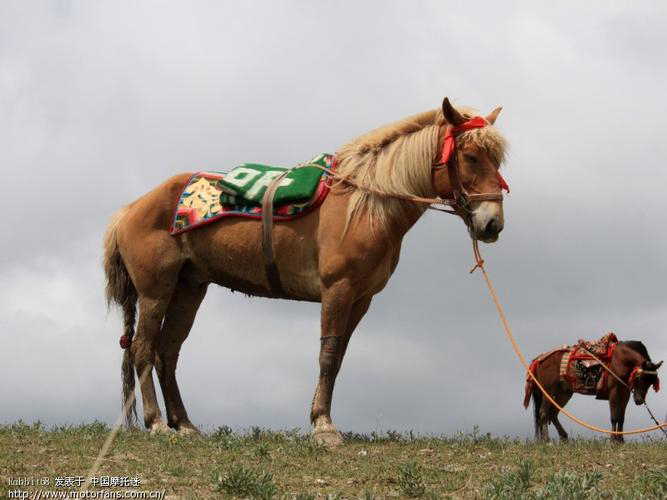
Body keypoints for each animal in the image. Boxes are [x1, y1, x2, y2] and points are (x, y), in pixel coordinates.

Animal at [103, 97, 509, 446]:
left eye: (497, 162)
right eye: (471, 157)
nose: (492, 224)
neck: (364, 203)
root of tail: (130, 209)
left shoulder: (361, 299)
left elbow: (339, 357)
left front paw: (319, 417)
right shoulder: (337, 289)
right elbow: (327, 355)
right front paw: (324, 427)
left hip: (189, 288)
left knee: (167, 351)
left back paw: (184, 423)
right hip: (155, 291)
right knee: (143, 348)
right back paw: (157, 422)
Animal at [524, 340, 662, 442]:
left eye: (651, 382)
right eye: (639, 377)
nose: (639, 400)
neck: (620, 360)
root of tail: (539, 359)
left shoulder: (625, 393)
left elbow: (621, 418)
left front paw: (620, 440)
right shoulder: (614, 392)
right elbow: (614, 417)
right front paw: (613, 440)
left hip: (564, 393)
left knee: (553, 413)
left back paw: (564, 437)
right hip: (547, 390)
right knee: (543, 413)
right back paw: (547, 441)